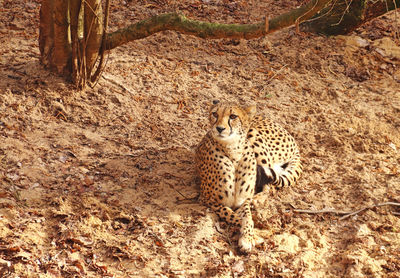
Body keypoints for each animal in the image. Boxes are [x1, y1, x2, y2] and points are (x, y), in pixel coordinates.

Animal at [195, 101, 302, 253]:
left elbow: (248, 217)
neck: (232, 151)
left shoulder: (243, 201)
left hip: (254, 136)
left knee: (270, 187)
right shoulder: (207, 199)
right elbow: (232, 214)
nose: (219, 128)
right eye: (215, 114)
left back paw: (256, 200)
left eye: (233, 116)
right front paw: (254, 235)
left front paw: (249, 236)